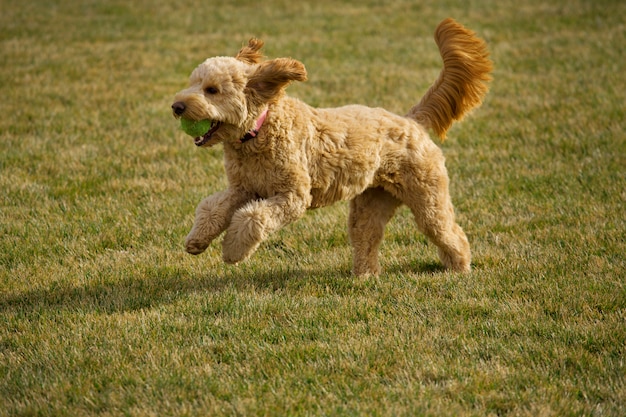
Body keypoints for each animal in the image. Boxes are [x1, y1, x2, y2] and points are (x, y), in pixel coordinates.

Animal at [172, 17, 492, 274]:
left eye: (212, 90)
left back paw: (460, 268)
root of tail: (412, 120)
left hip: (427, 196)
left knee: (448, 231)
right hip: (371, 203)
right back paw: (365, 275)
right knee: (367, 238)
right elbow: (211, 208)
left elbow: (253, 218)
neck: (258, 130)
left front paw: (232, 251)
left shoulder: (292, 195)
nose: (177, 106)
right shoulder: (243, 189)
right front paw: (197, 241)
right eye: (193, 83)